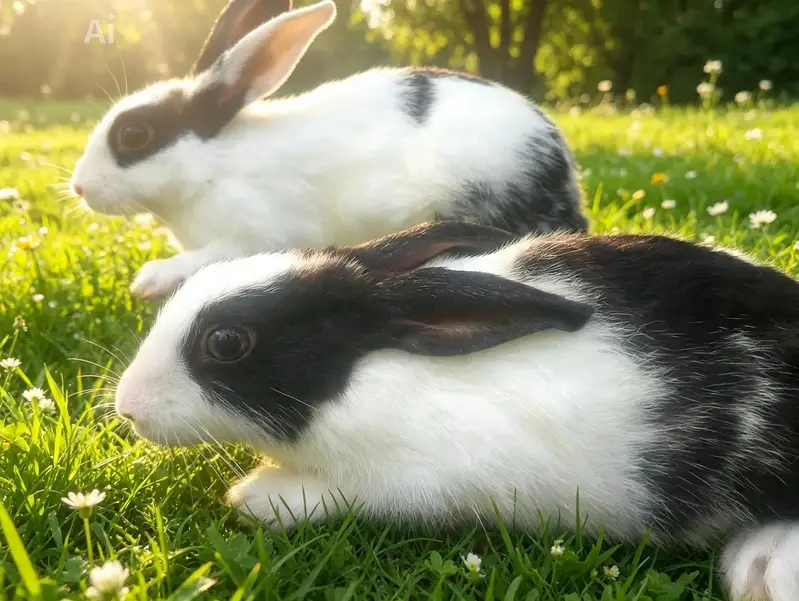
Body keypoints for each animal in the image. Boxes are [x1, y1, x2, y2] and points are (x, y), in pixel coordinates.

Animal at [69, 0, 588, 301]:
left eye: (134, 135)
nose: (78, 188)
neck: (213, 165)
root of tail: (564, 178)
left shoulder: (251, 235)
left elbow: (205, 259)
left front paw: (148, 281)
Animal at [115, 220, 799, 601]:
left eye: (228, 343)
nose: (127, 407)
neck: (362, 374)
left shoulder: (403, 483)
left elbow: (326, 495)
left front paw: (253, 497)